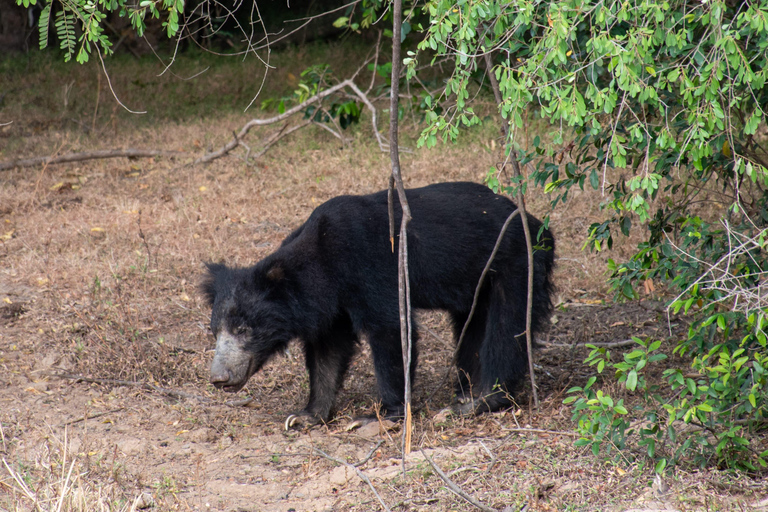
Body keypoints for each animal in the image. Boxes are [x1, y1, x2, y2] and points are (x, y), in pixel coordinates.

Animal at [201, 182, 556, 426]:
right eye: (215, 332)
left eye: (243, 329)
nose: (219, 378)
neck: (324, 266)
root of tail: (537, 224)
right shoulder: (331, 308)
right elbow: (328, 352)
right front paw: (305, 416)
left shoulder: (373, 267)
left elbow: (391, 329)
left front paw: (379, 416)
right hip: (476, 283)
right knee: (472, 327)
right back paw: (465, 391)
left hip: (515, 264)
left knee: (507, 327)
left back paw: (479, 402)